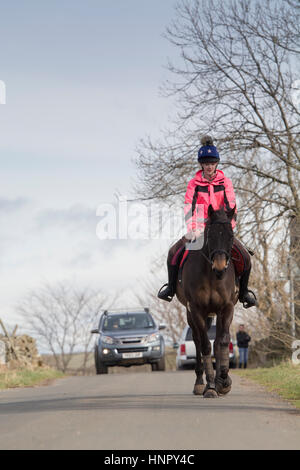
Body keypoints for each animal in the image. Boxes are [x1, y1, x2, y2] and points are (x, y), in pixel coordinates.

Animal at [177, 205, 238, 396]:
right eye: (210, 235)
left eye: (230, 236)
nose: (220, 267)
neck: (212, 276)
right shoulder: (196, 309)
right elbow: (205, 345)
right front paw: (210, 387)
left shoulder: (226, 308)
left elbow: (222, 342)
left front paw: (224, 381)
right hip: (191, 313)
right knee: (197, 340)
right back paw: (199, 383)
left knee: (217, 341)